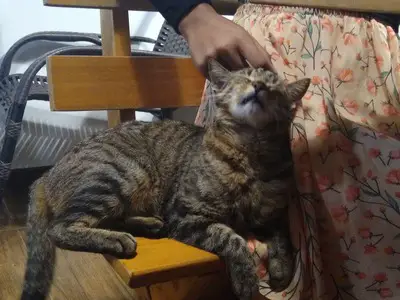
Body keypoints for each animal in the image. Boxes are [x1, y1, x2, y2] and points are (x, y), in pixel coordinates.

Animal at [20, 59, 310, 300]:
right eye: (246, 77)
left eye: (274, 86)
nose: (259, 86)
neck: (251, 152)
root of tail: (47, 173)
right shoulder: (187, 214)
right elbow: (234, 241)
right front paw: (247, 281)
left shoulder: (270, 216)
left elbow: (283, 237)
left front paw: (282, 270)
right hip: (121, 175)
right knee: (60, 228)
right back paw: (116, 238)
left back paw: (148, 225)